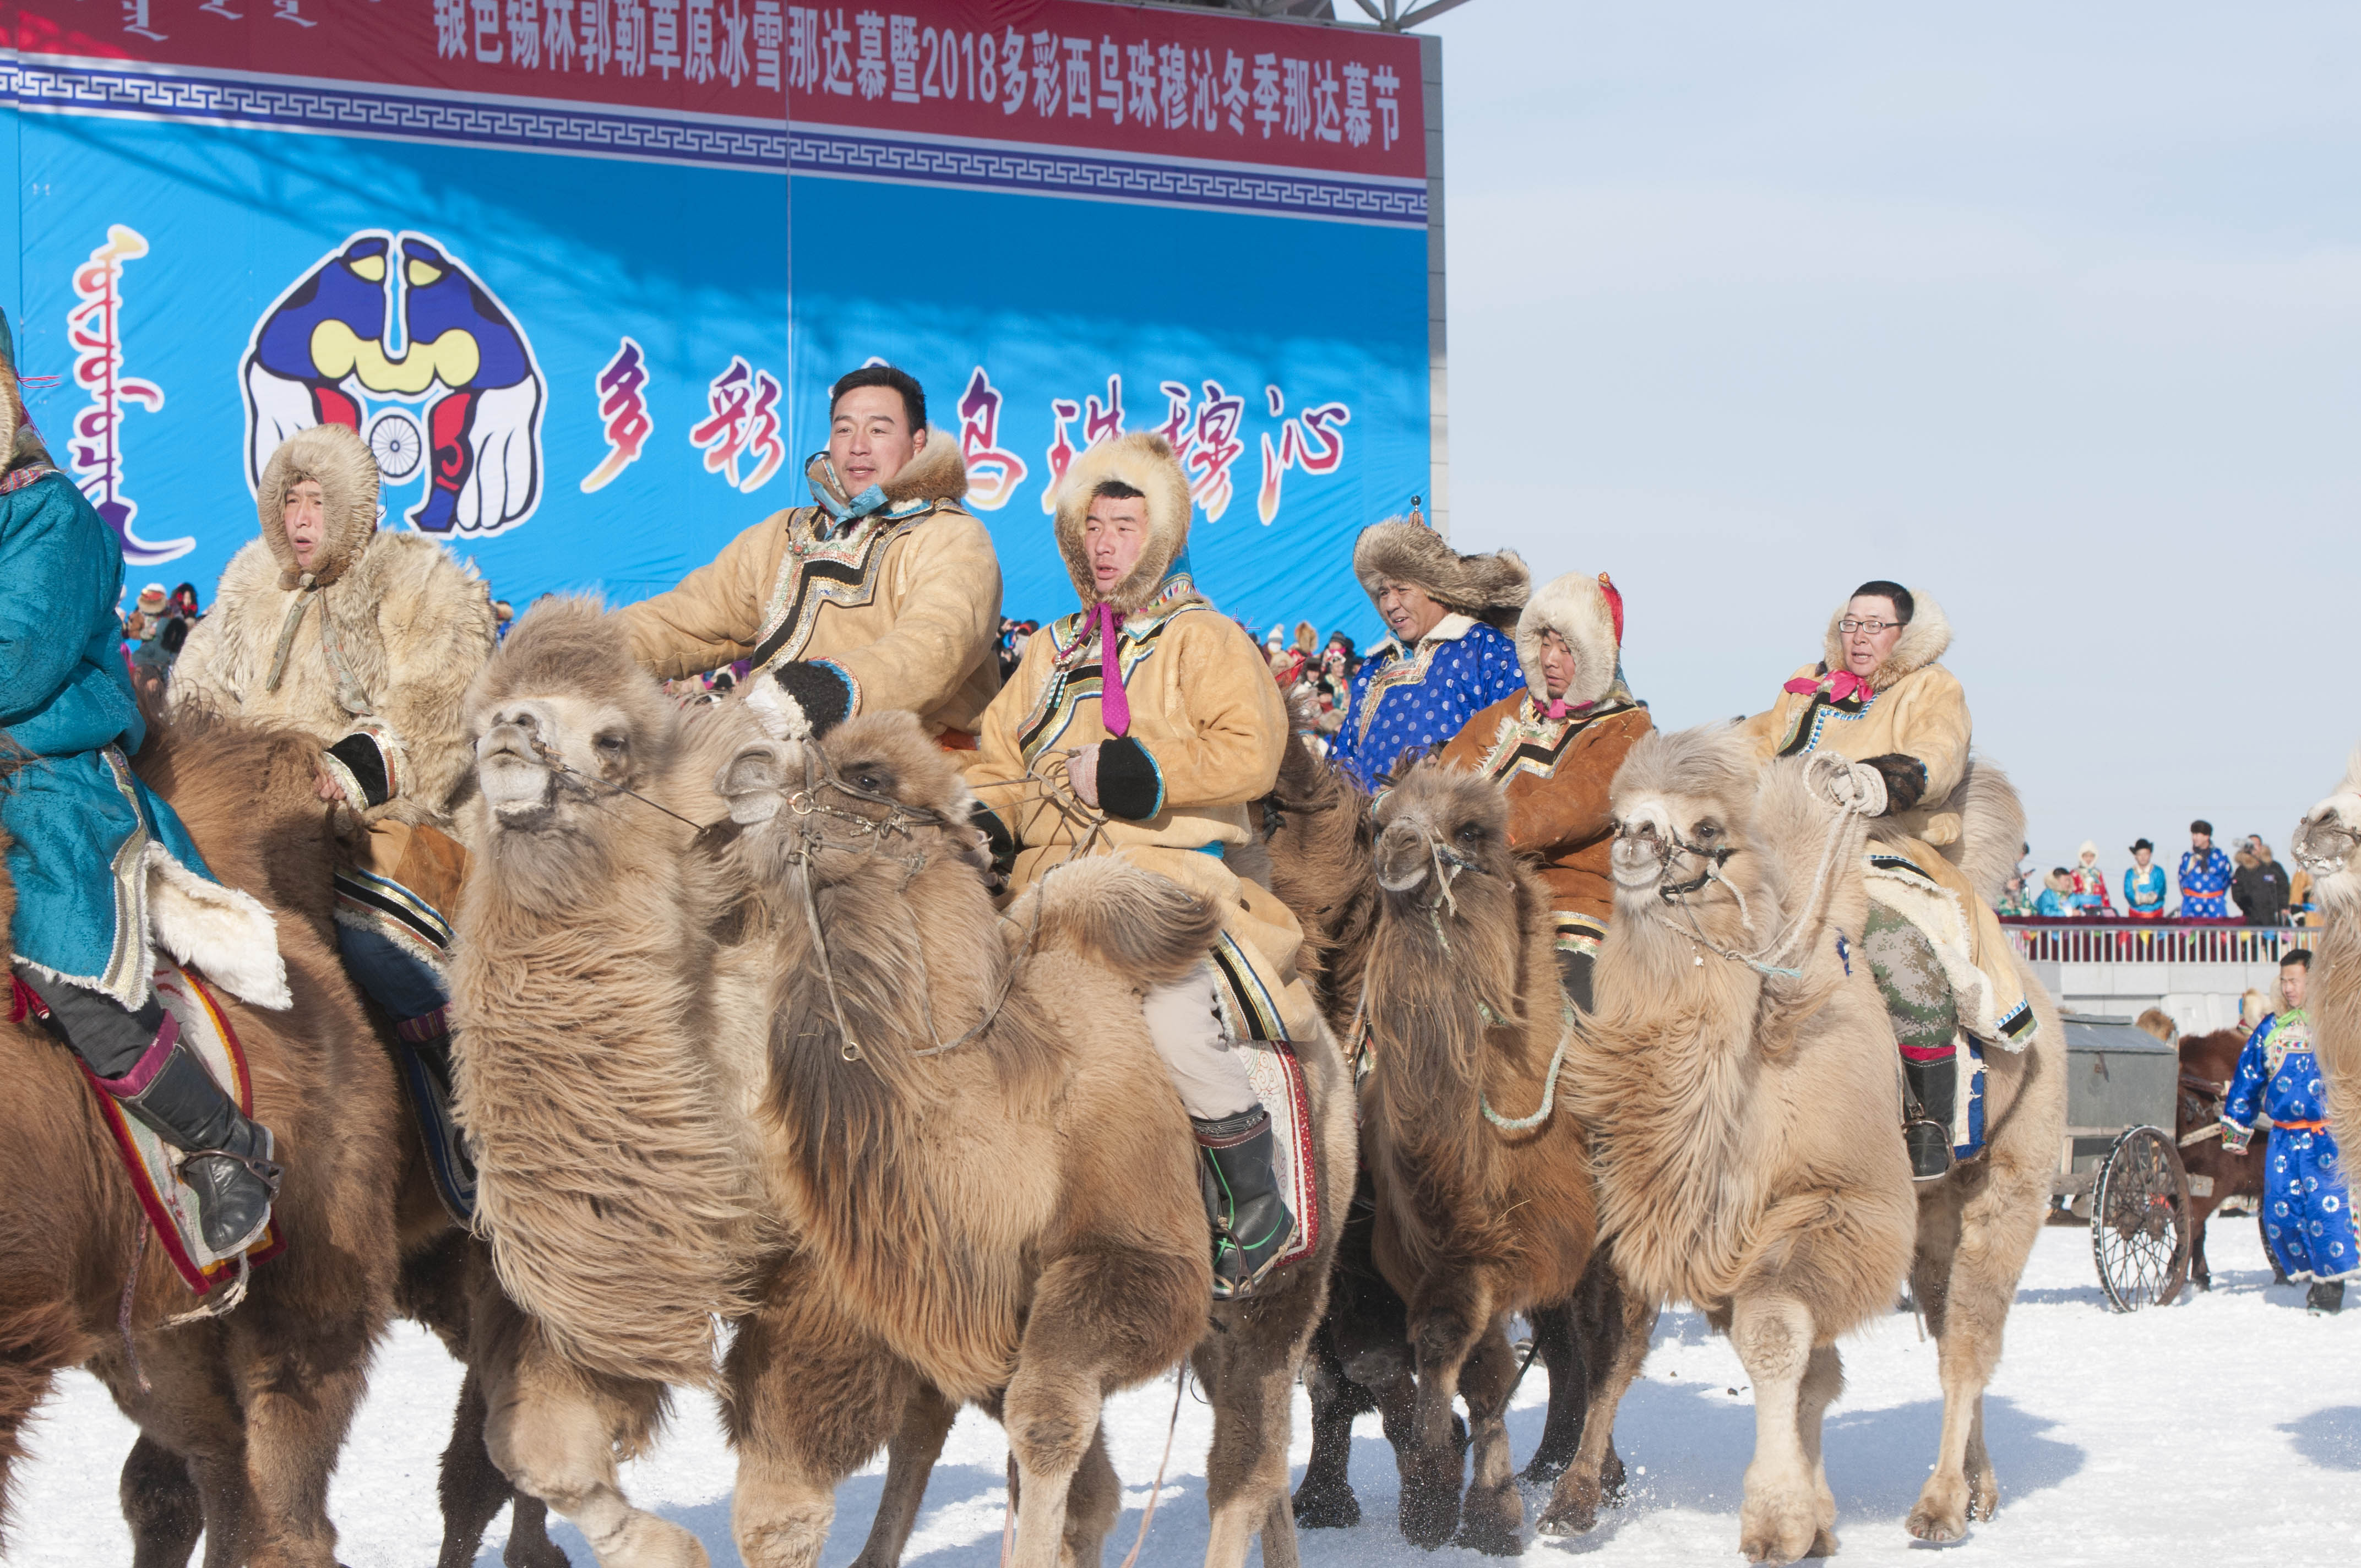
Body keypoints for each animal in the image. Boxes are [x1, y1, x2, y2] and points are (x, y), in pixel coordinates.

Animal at [1577, 727, 2059, 1558]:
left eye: (1706, 825)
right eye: (1619, 812)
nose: (1633, 839)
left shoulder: (1842, 1201)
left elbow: (1774, 1337)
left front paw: (1775, 1521)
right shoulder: (1693, 1220)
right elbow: (1657, 1341)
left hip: (2013, 1174)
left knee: (1967, 1341)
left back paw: (1940, 1506)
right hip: (1935, 1215)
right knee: (1943, 1322)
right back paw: (1978, 1489)